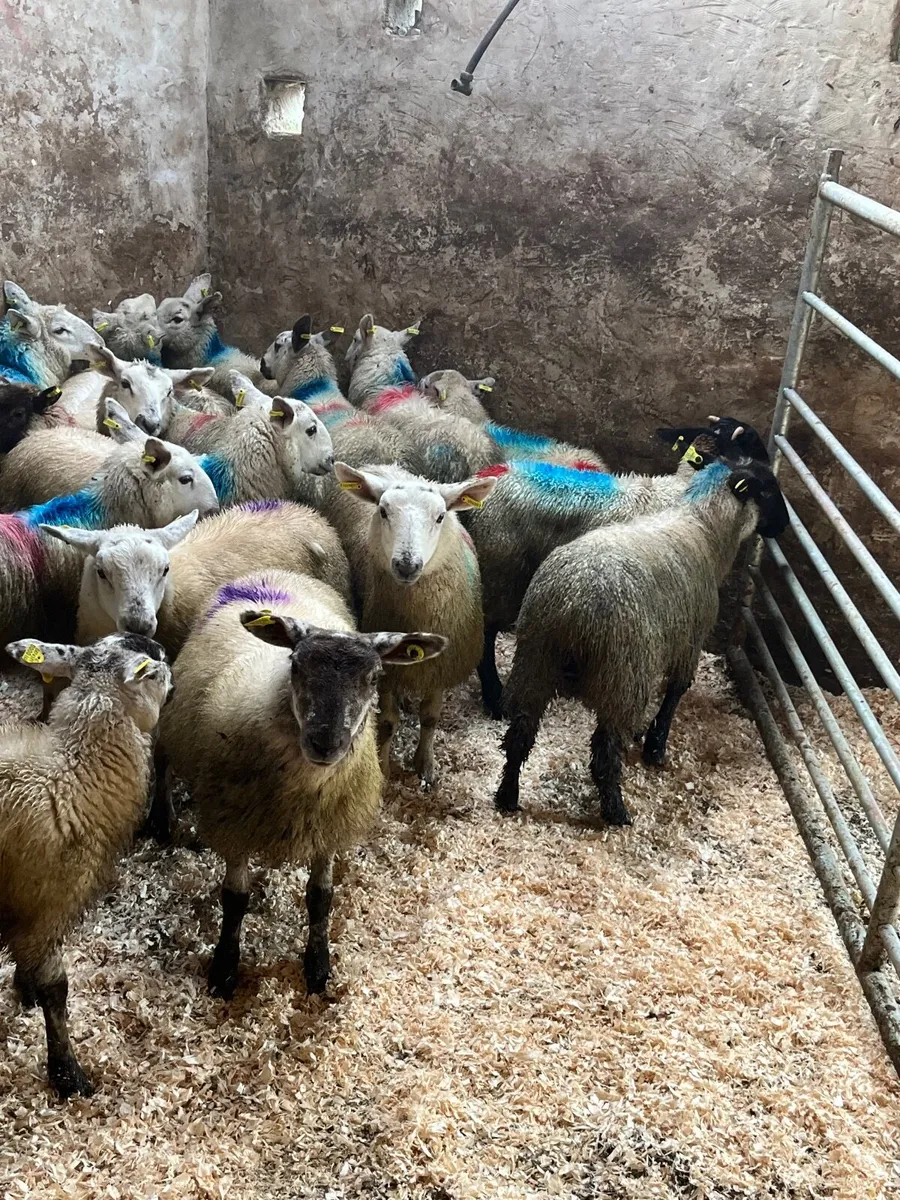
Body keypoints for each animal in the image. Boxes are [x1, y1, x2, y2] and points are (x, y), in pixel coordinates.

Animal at [0, 632, 171, 1097]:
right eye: (158, 670)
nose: (174, 684)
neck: (72, 774)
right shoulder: (46, 909)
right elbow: (56, 991)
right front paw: (68, 1074)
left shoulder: (24, 911)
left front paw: (22, 991)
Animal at [158, 568, 446, 998]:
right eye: (295, 666)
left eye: (374, 676)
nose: (326, 742)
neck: (306, 788)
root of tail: (271, 572)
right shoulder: (234, 825)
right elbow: (235, 899)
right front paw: (224, 970)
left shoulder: (328, 826)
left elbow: (320, 898)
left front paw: (317, 966)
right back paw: (164, 818)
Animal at [333, 461, 498, 788]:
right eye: (383, 511)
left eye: (440, 516)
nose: (407, 565)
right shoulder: (388, 672)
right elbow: (387, 722)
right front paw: (384, 768)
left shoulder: (440, 668)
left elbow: (430, 718)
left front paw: (425, 765)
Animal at [495, 456, 789, 826]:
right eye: (767, 489)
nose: (784, 526)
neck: (703, 525)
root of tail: (573, 605)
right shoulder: (689, 640)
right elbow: (676, 691)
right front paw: (655, 746)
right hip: (621, 676)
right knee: (604, 753)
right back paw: (617, 812)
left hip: (535, 663)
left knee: (519, 736)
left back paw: (507, 796)